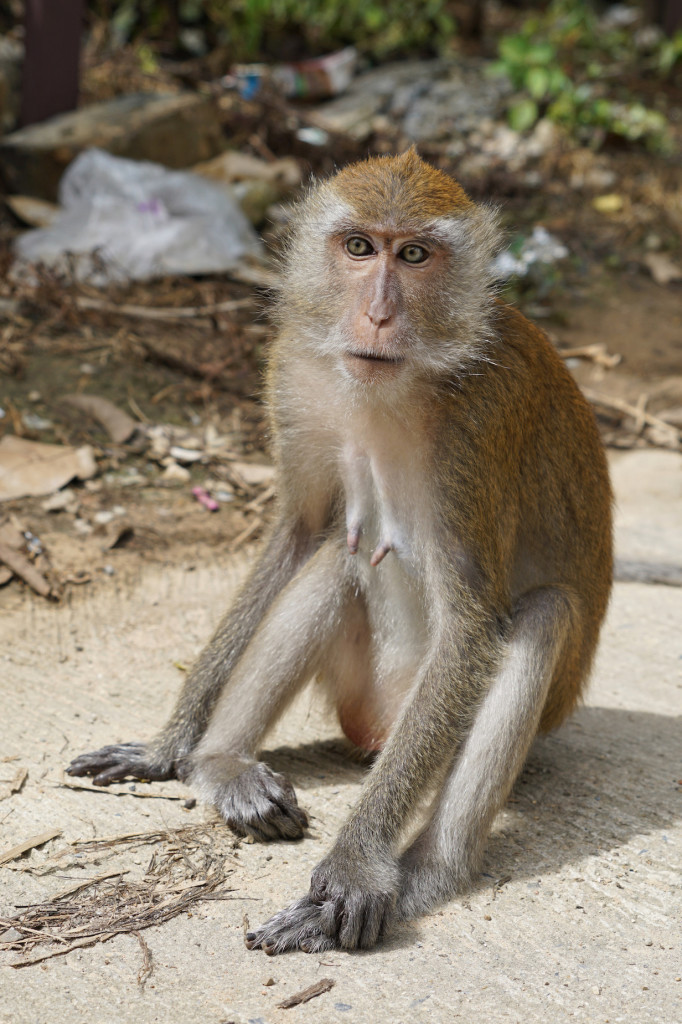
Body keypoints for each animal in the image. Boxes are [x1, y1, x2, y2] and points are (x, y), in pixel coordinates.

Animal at [67, 148, 610, 954]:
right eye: (359, 248)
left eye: (413, 255)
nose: (379, 314)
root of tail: (371, 730)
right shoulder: (293, 369)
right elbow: (298, 533)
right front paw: (167, 748)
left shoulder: (480, 425)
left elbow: (471, 625)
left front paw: (354, 868)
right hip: (361, 689)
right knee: (334, 559)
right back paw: (221, 766)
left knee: (543, 615)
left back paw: (429, 870)